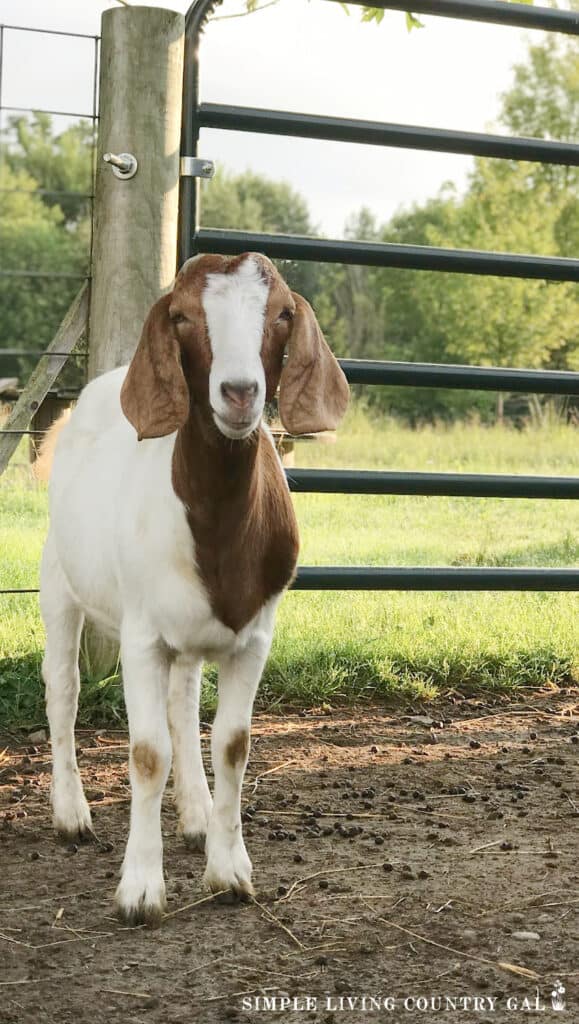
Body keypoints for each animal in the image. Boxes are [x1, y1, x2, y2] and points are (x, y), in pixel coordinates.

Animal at [40, 251, 350, 925]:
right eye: (181, 316)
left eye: (281, 313)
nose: (239, 392)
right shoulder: (140, 637)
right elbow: (145, 753)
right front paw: (139, 890)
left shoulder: (254, 636)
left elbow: (232, 744)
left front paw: (229, 870)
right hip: (59, 583)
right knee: (64, 690)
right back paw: (71, 813)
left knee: (182, 703)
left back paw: (197, 813)